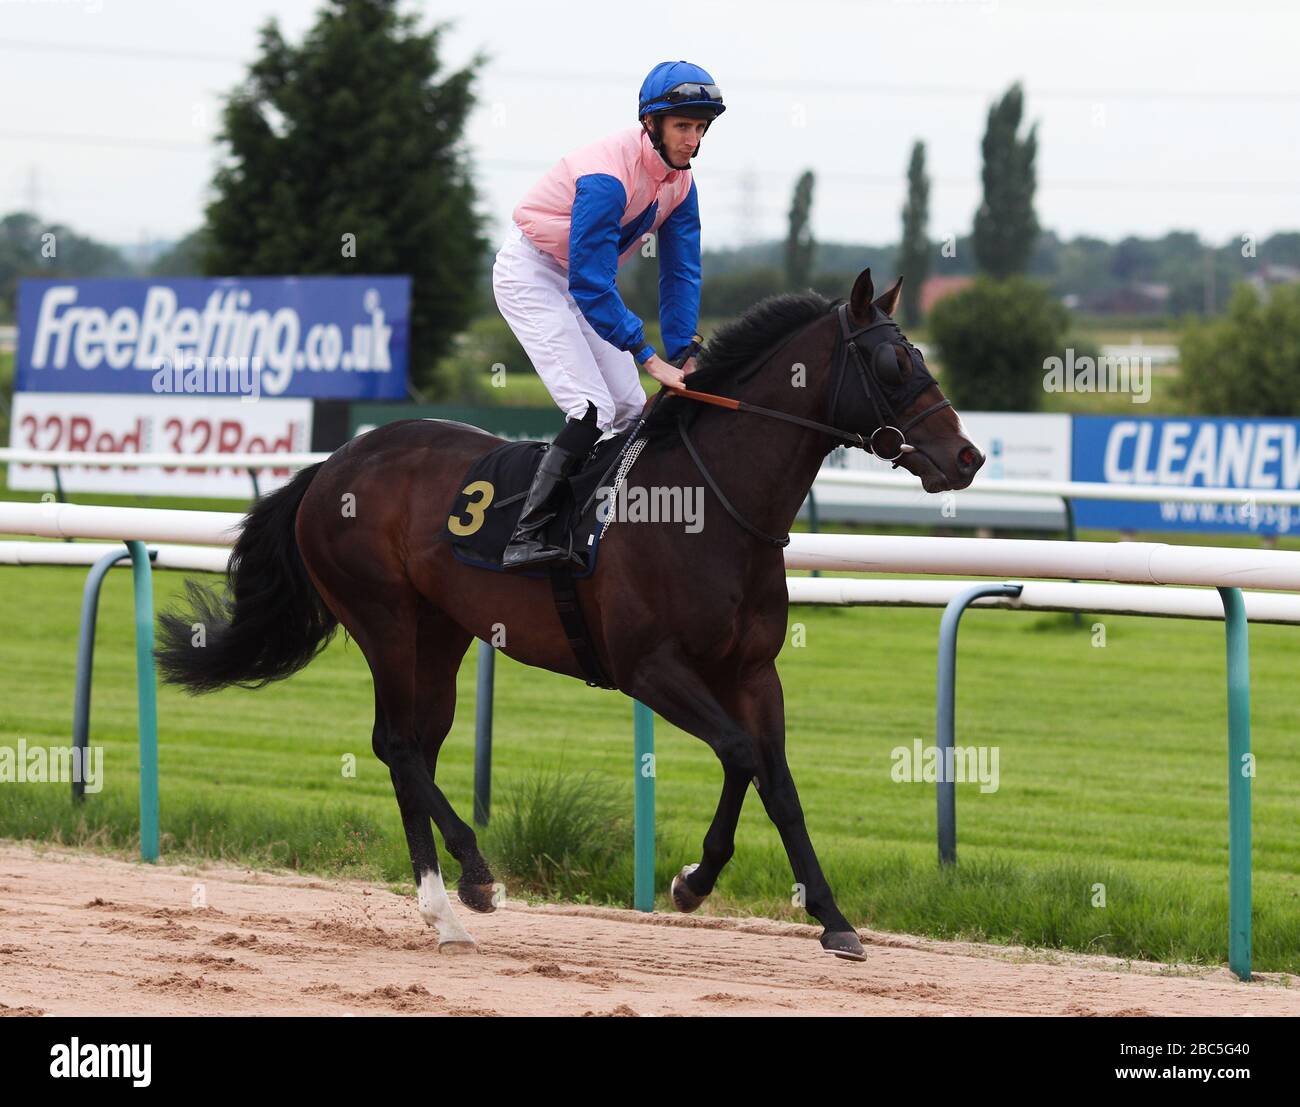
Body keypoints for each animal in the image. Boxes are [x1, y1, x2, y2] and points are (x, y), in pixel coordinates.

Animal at [157, 267, 977, 961]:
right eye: (895, 363)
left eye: (922, 355)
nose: (966, 457)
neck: (707, 506)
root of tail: (331, 466)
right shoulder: (649, 667)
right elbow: (741, 753)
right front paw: (692, 881)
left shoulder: (752, 670)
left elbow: (777, 782)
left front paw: (832, 918)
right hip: (381, 615)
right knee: (394, 742)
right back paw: (474, 879)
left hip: (439, 631)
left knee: (415, 745)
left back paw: (445, 910)